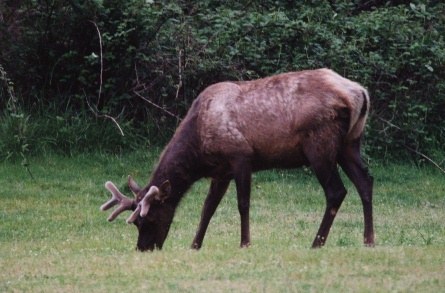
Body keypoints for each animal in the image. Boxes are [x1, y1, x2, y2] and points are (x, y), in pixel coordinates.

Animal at [99, 67, 372, 250]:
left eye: (150, 218)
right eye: (136, 222)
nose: (143, 248)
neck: (199, 148)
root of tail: (360, 92)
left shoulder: (241, 155)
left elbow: (243, 204)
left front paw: (245, 243)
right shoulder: (221, 171)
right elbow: (208, 208)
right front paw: (195, 245)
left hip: (320, 144)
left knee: (336, 191)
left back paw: (317, 242)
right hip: (350, 143)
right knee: (365, 182)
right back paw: (369, 240)